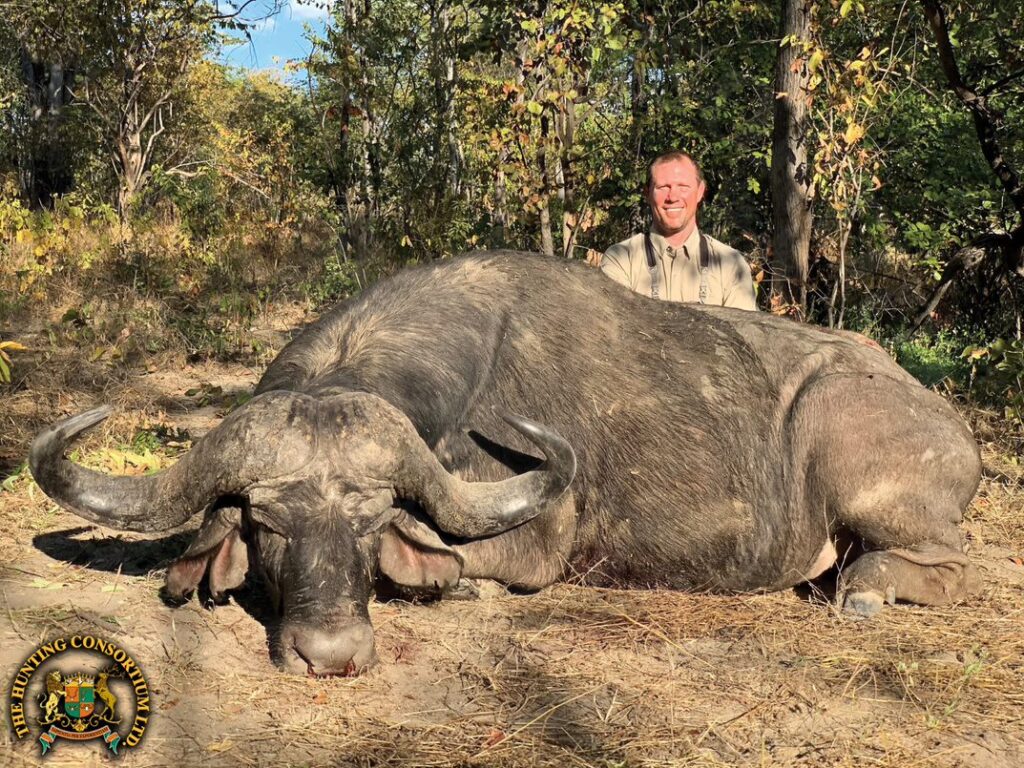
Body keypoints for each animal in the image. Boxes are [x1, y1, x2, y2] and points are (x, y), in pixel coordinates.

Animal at [30, 252, 981, 677]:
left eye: (373, 522)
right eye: (267, 524)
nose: (331, 654)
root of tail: (955, 429)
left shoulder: (535, 545)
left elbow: (451, 570)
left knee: (943, 563)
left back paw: (864, 590)